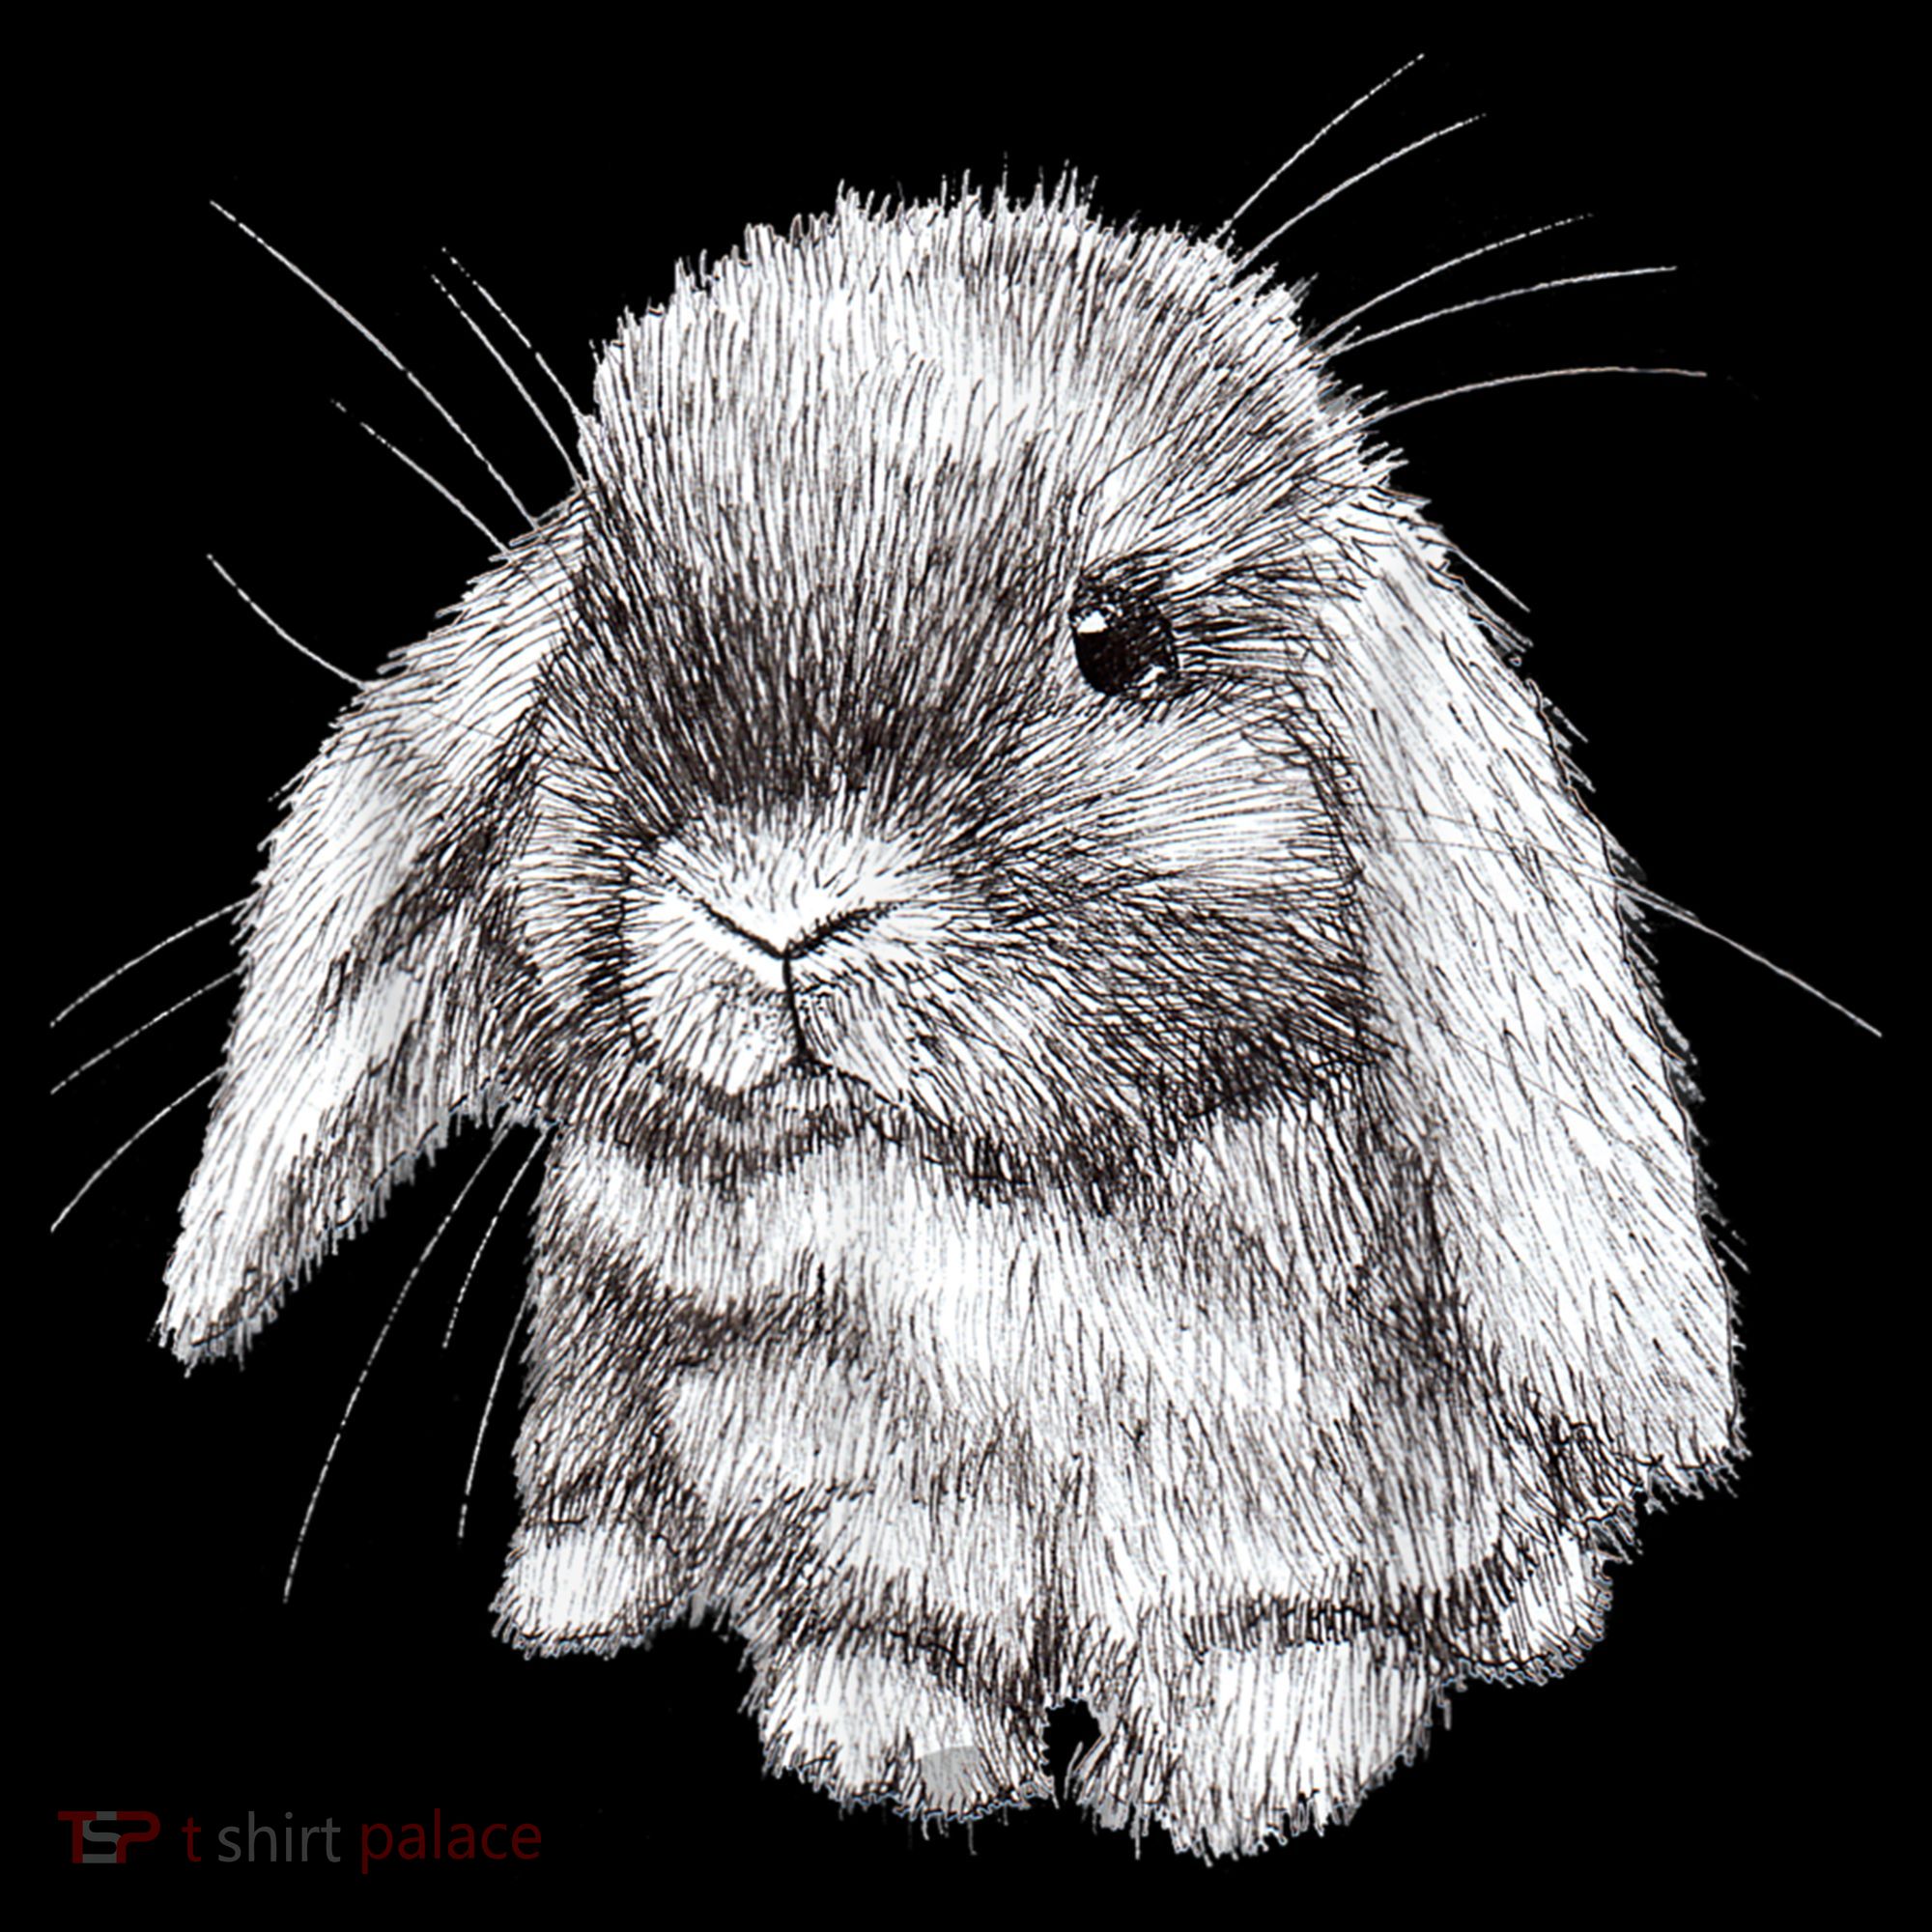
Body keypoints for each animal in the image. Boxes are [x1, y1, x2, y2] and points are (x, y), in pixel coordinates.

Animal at [154, 176, 1736, 1859]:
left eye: (1115, 641)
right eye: (614, 629)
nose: (780, 913)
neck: (1006, 1203)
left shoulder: (1311, 1519)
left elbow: (1280, 1646)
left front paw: (1233, 1792)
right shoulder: (840, 1490)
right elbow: (891, 1632)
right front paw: (895, 1763)